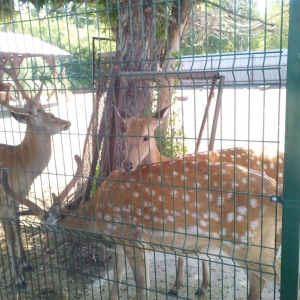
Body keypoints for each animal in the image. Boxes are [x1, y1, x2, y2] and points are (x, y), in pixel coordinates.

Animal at [0, 65, 71, 288]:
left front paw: (26, 264)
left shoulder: (18, 197)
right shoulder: (3, 201)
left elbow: (16, 227)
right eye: (47, 113)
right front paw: (19, 279)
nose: (67, 122)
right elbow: (10, 237)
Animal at [0, 155, 282, 300]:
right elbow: (116, 280)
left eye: (47, 227)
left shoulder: (132, 237)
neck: (97, 218)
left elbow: (139, 285)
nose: (46, 250)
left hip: (250, 243)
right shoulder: (123, 243)